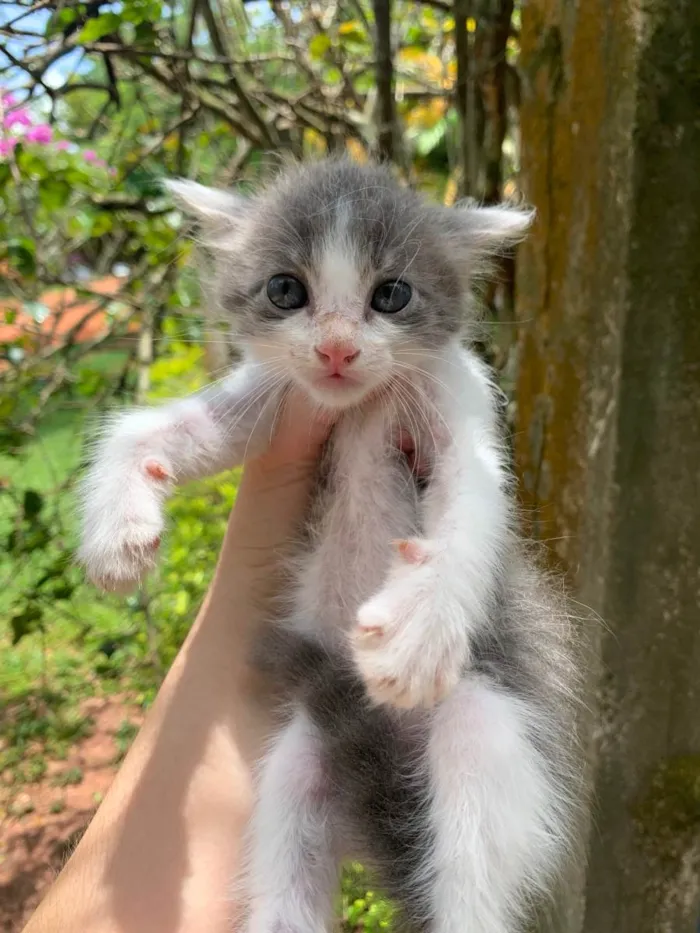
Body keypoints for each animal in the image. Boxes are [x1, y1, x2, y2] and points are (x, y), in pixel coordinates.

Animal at [76, 160, 584, 932]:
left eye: (392, 294)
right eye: (286, 289)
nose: (337, 349)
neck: (357, 410)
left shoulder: (458, 406)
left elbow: (473, 507)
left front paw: (418, 632)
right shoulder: (275, 399)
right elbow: (151, 429)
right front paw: (114, 532)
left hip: (486, 720)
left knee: (469, 867)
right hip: (300, 757)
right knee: (291, 849)